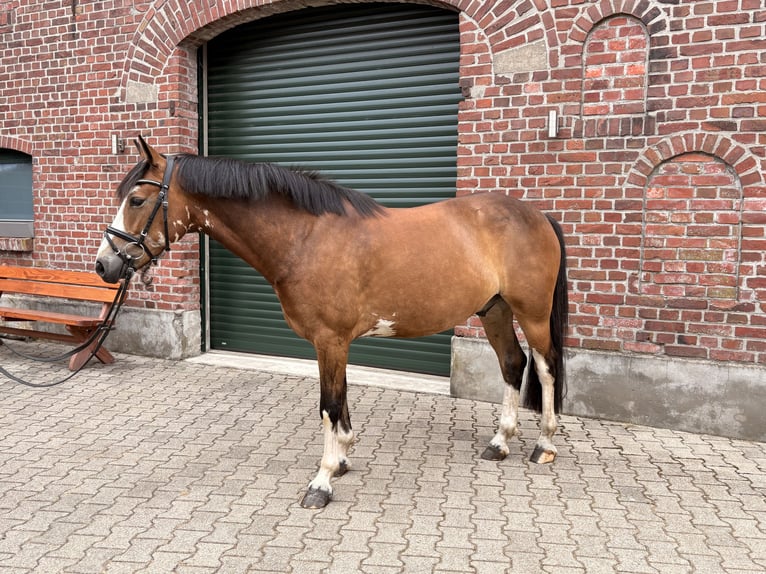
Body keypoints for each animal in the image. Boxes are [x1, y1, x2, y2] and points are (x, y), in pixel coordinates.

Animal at [95, 136, 569, 509]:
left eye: (136, 200)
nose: (104, 265)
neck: (306, 239)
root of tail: (538, 215)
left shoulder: (330, 341)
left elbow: (329, 405)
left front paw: (322, 481)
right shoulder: (333, 344)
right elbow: (340, 402)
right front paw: (341, 459)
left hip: (531, 312)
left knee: (545, 368)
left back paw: (544, 445)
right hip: (495, 310)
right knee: (512, 364)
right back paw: (500, 443)